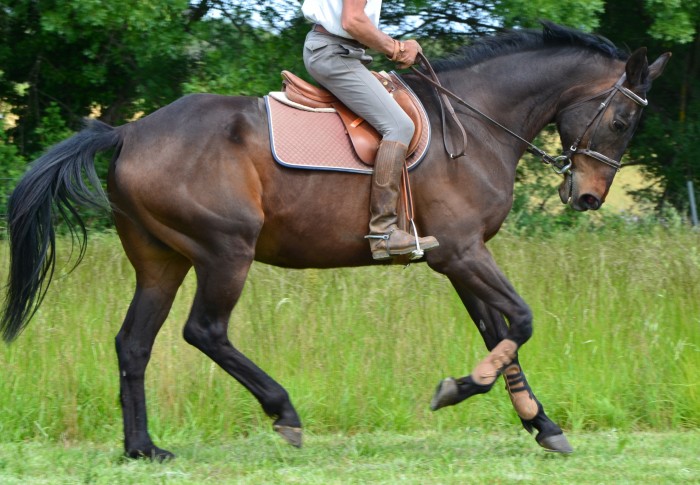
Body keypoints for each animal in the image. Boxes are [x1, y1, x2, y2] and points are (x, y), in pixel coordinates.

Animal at [0, 22, 668, 460]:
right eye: (621, 120)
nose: (587, 198)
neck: (477, 123)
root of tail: (128, 133)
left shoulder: (456, 258)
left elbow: (498, 334)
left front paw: (540, 423)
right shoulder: (462, 251)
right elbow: (522, 322)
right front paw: (460, 389)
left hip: (161, 260)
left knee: (134, 343)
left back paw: (143, 448)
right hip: (225, 251)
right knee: (204, 331)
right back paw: (284, 413)